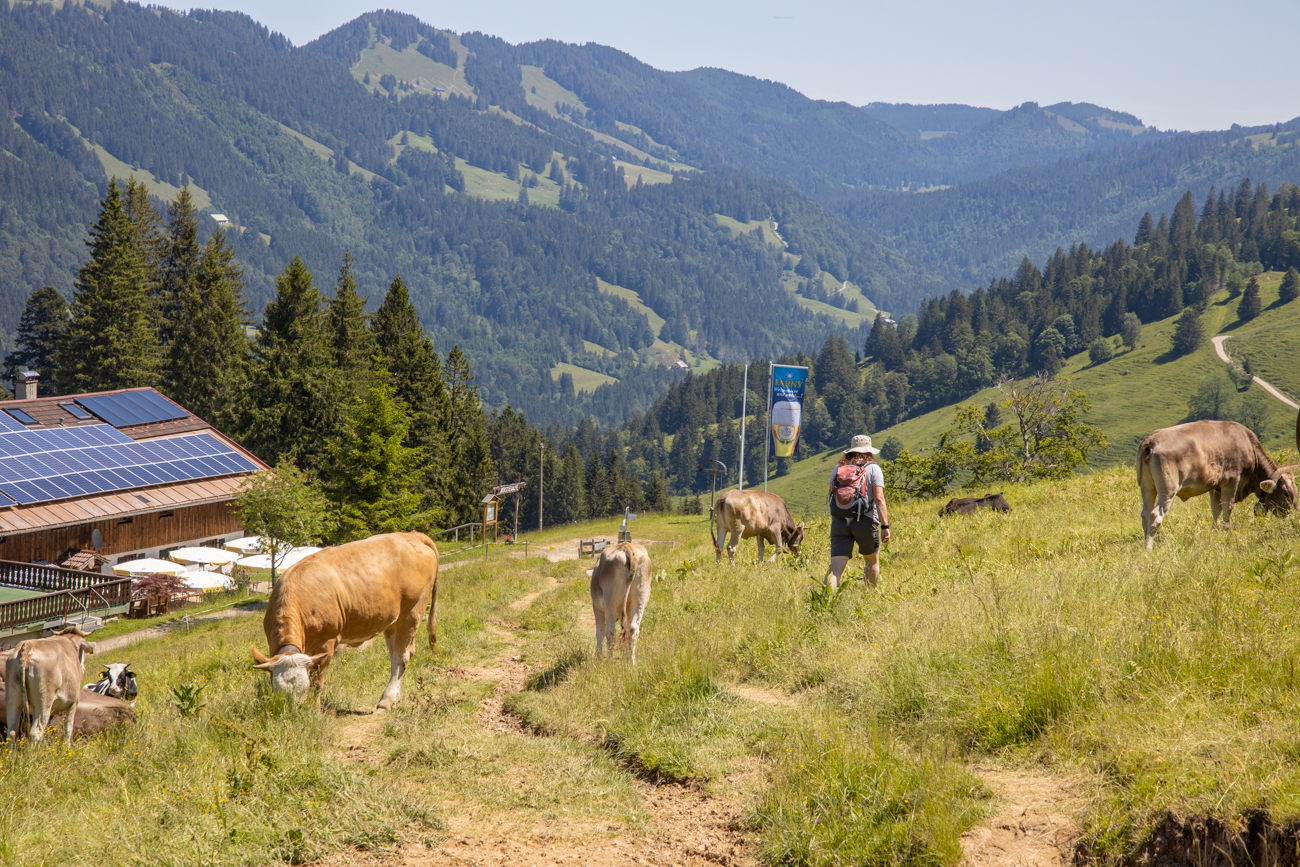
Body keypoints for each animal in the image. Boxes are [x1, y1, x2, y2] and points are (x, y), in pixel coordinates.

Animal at [250, 530, 439, 712]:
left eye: (302, 689)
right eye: (277, 690)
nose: (292, 713)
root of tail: (412, 535)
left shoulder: (326, 642)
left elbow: (317, 682)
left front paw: (314, 711)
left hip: (412, 611)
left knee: (402, 656)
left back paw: (386, 701)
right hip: (393, 621)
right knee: (395, 654)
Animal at [1133, 415, 1294, 548]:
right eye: (1286, 493)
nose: (1292, 516)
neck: (1248, 445)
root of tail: (1151, 440)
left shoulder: (1215, 487)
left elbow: (1216, 510)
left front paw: (1215, 532)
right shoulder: (1231, 481)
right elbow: (1227, 508)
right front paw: (1227, 532)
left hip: (1147, 488)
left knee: (1145, 514)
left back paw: (1147, 541)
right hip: (1168, 489)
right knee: (1155, 515)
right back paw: (1149, 547)